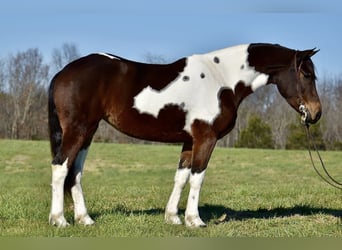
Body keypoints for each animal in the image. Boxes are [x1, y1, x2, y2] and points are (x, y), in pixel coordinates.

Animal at [47, 43, 320, 229]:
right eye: (306, 74)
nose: (316, 113)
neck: (222, 79)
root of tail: (63, 72)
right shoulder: (206, 139)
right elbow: (197, 178)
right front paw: (194, 220)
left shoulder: (189, 141)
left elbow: (181, 177)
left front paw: (173, 217)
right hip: (78, 130)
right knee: (60, 168)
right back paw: (59, 220)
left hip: (88, 131)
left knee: (75, 172)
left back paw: (85, 219)